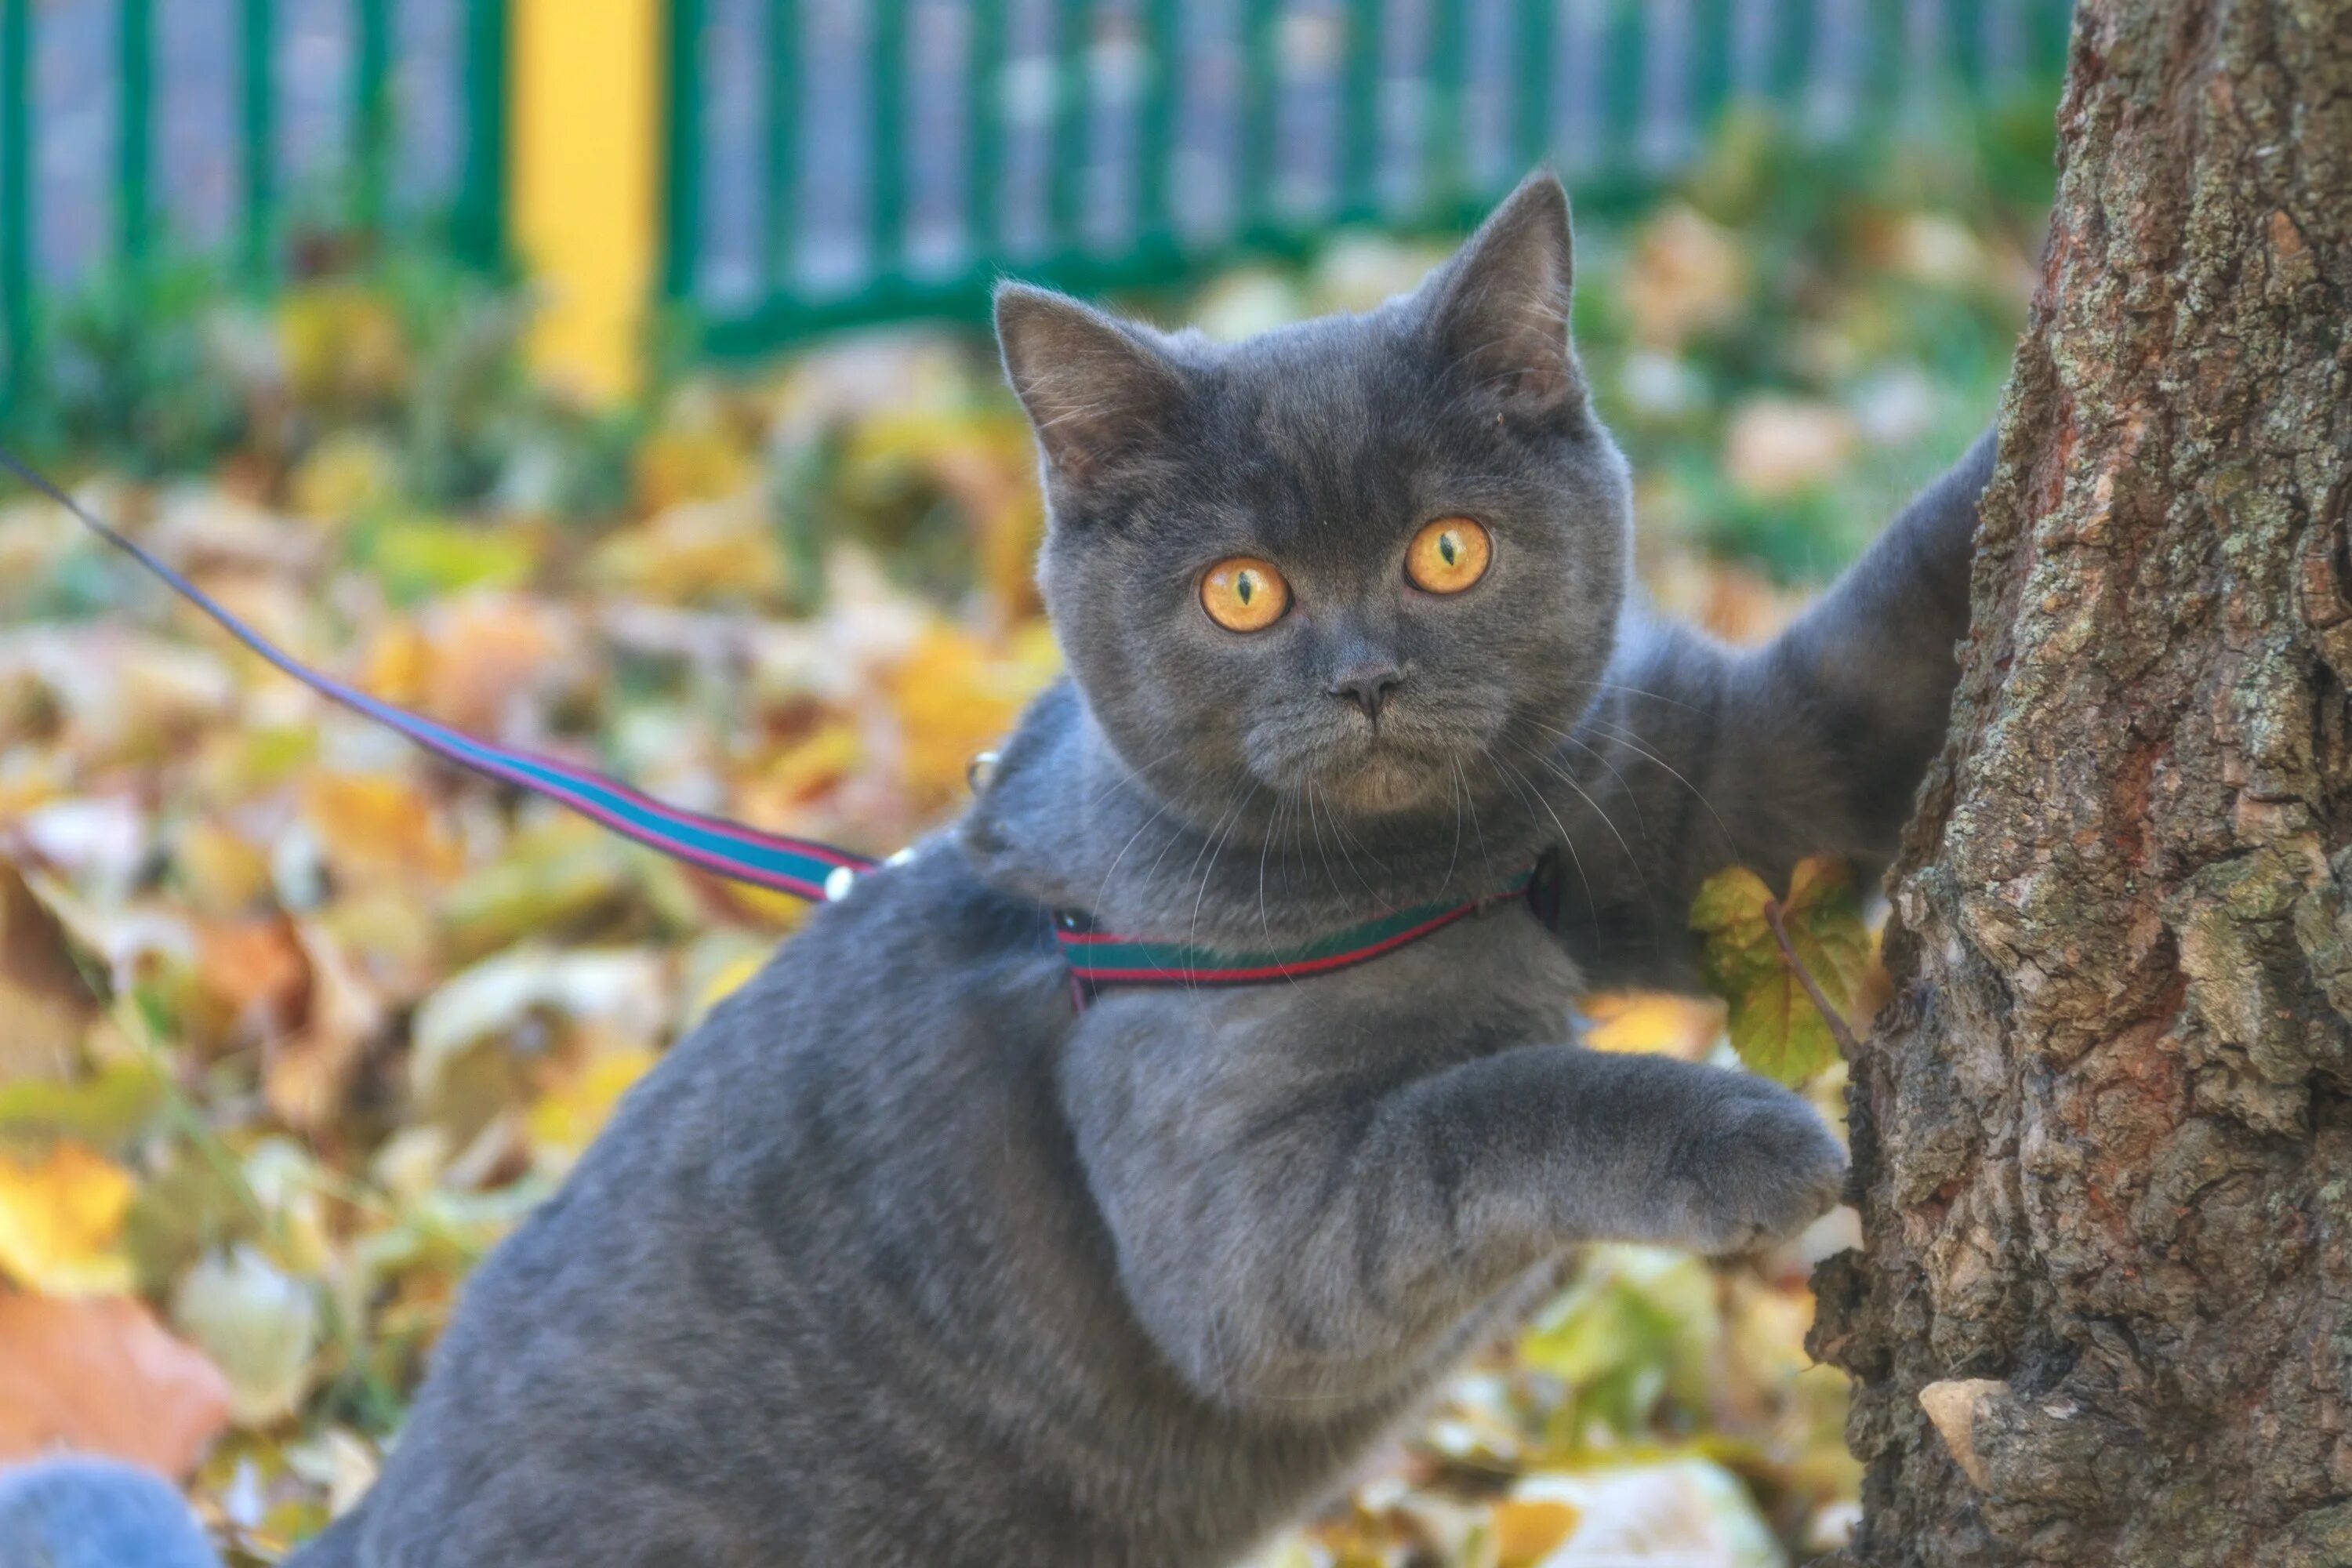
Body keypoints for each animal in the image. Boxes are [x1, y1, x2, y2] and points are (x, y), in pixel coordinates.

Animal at [0, 175, 1994, 1568]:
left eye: (1448, 550)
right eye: (1242, 591)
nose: (1363, 673)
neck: (1474, 865)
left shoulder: (1687, 781)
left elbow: (1847, 696)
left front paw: (2004, 468)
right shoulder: (1238, 1227)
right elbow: (1479, 1108)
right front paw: (1737, 1141)